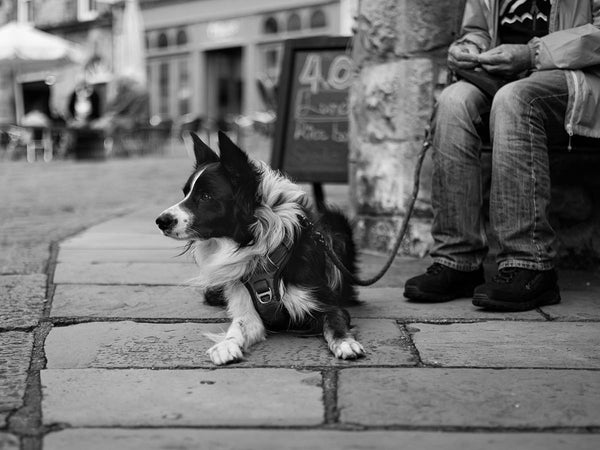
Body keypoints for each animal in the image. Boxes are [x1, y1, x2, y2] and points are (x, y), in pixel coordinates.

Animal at [157, 131, 364, 366]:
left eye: (206, 196)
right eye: (185, 193)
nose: (160, 221)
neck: (255, 245)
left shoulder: (326, 304)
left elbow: (335, 323)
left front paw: (346, 343)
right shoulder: (246, 308)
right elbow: (238, 327)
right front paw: (226, 345)